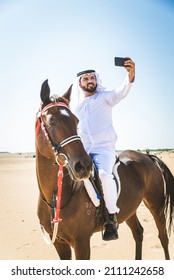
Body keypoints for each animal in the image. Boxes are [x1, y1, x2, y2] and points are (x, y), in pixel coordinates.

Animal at [35, 80, 174, 260]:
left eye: (76, 121)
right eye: (52, 121)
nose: (83, 166)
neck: (55, 196)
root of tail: (148, 157)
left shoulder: (81, 243)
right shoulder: (60, 244)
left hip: (156, 205)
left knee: (163, 236)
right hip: (129, 210)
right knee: (138, 233)